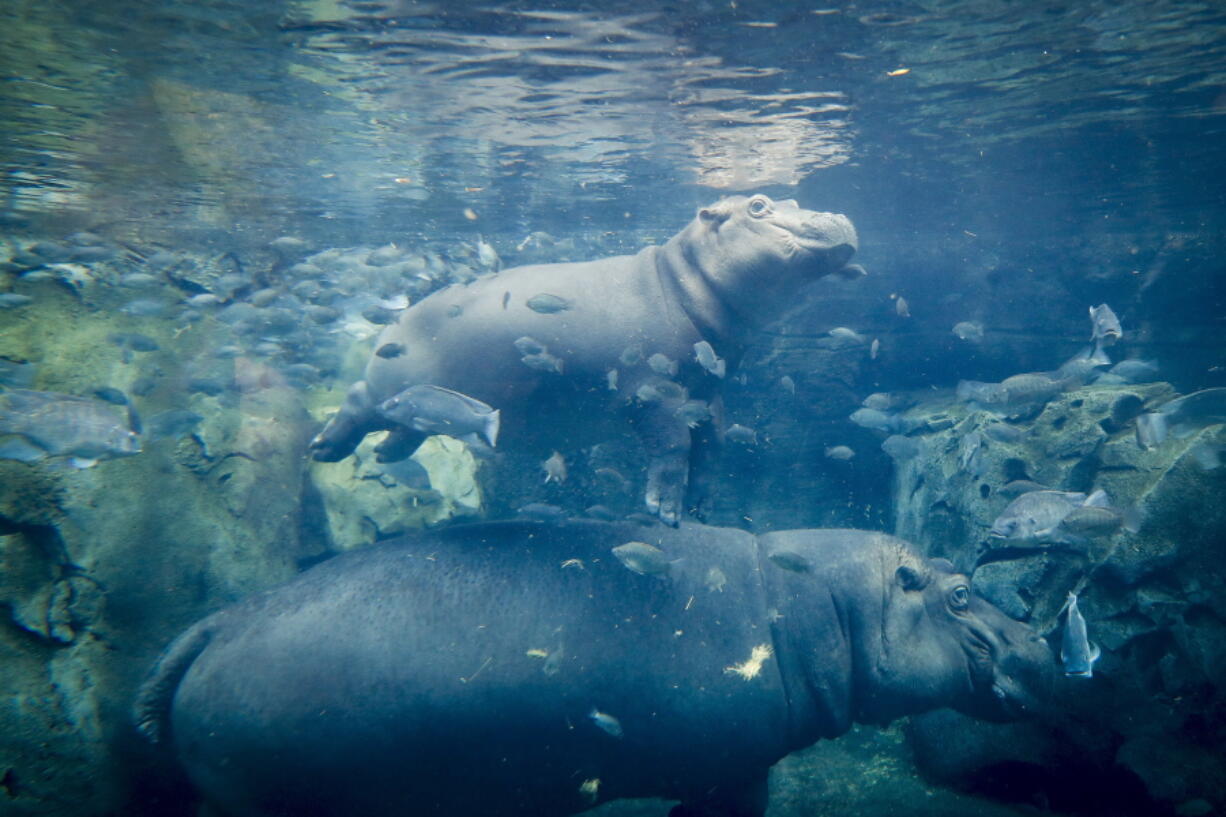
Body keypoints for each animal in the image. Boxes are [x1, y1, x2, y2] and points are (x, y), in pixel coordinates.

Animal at [311, 193, 858, 517]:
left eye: (793, 197)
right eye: (759, 205)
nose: (837, 214)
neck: (682, 275)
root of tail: (394, 322)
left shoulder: (706, 391)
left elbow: (712, 446)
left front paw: (701, 504)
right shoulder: (654, 391)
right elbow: (675, 445)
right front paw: (665, 510)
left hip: (423, 401)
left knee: (406, 425)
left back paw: (385, 453)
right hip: (383, 383)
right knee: (357, 400)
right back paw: (324, 448)